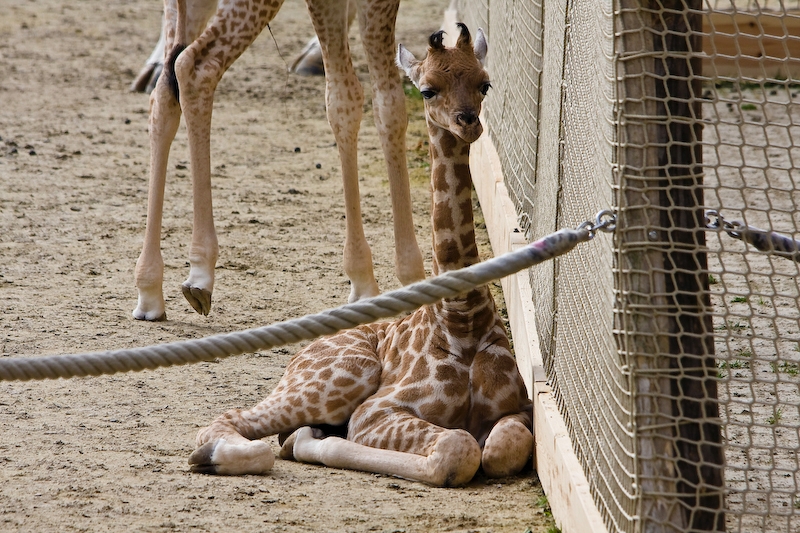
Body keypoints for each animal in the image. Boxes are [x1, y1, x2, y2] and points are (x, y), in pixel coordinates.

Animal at [133, 0, 425, 321]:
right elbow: (385, 104)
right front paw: (404, 277)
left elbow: (342, 102)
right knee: (195, 66)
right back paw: (198, 273)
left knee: (164, 88)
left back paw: (150, 288)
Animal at [187, 25, 534, 486]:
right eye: (426, 89)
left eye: (484, 84)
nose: (468, 122)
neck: (462, 319)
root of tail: (304, 351)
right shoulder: (375, 412)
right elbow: (457, 449)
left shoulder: (519, 408)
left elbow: (498, 449)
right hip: (346, 376)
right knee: (230, 422)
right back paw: (226, 453)